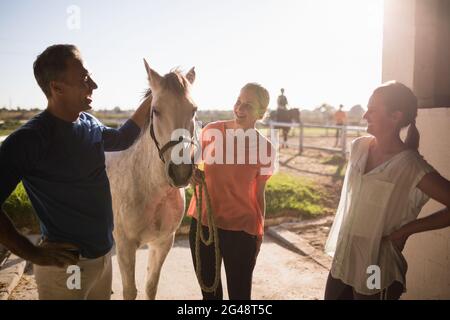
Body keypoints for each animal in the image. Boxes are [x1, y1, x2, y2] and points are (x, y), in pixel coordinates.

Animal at [106, 60, 198, 300]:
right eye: (155, 111)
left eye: (194, 110)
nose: (181, 172)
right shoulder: (126, 246)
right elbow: (130, 291)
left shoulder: (162, 243)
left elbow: (150, 286)